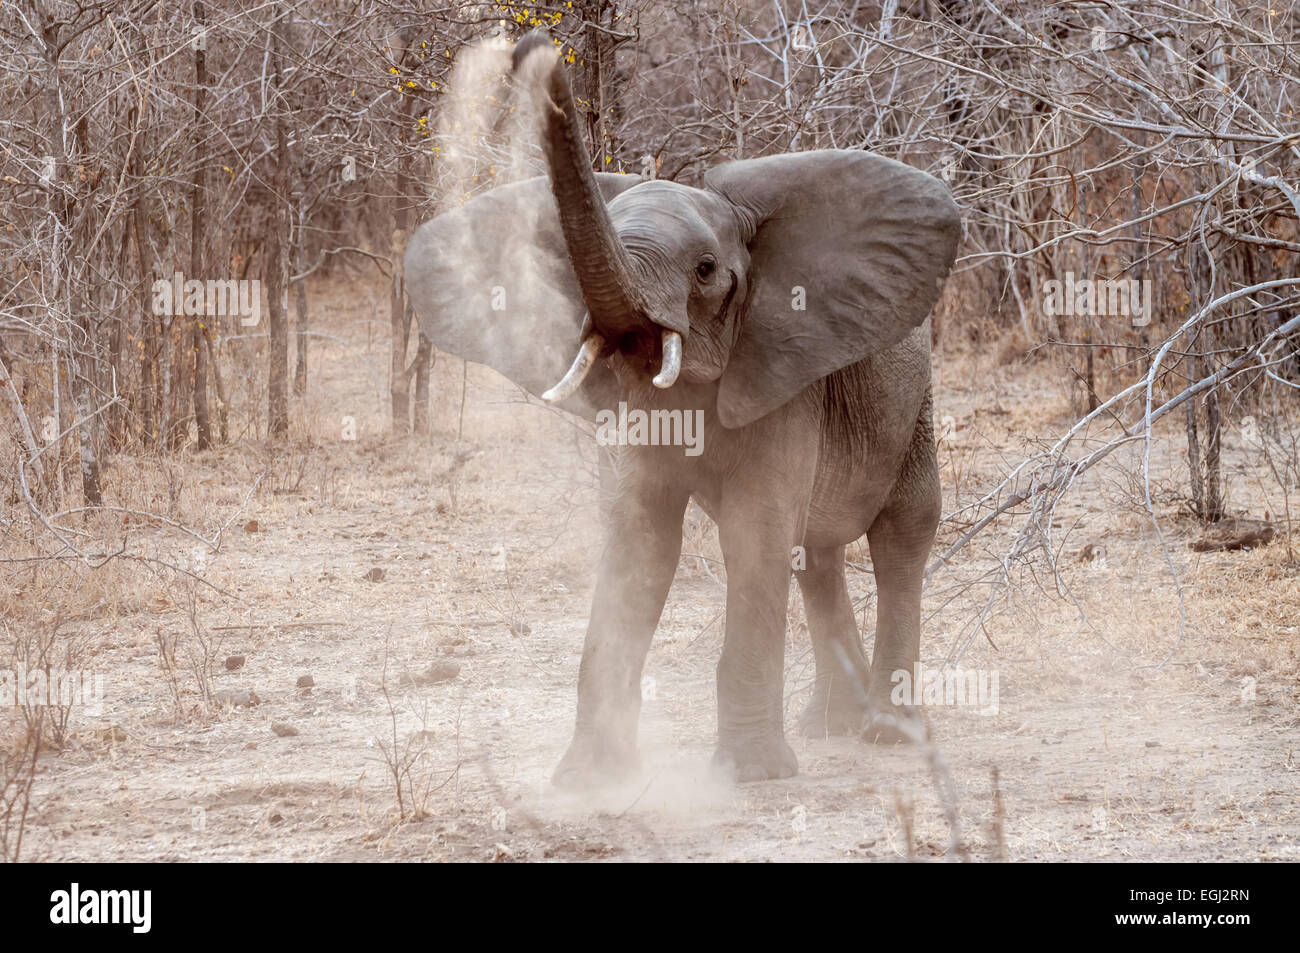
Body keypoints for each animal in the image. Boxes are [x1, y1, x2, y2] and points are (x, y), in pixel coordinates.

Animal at [405, 33, 967, 785]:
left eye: (704, 270)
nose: (530, 44)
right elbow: (641, 534)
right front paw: (589, 781)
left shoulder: (781, 375)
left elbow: (754, 533)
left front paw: (752, 776)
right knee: (812, 554)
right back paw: (827, 726)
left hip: (916, 403)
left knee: (902, 533)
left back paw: (887, 735)